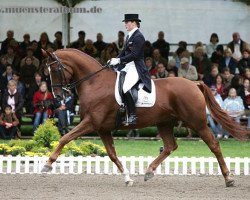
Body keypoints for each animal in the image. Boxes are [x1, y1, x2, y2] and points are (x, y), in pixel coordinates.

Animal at [41, 48, 248, 188]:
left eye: (56, 69)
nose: (58, 97)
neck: (94, 82)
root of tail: (194, 83)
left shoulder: (91, 123)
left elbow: (65, 138)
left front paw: (47, 165)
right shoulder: (102, 128)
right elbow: (112, 154)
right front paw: (127, 178)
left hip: (197, 122)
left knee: (214, 145)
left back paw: (229, 179)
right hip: (164, 123)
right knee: (170, 146)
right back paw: (149, 172)